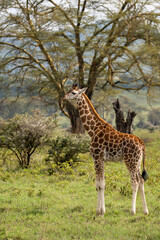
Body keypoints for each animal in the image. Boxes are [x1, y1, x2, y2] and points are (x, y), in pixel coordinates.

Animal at [63, 86, 149, 216]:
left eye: (73, 93)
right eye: (68, 91)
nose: (64, 98)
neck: (93, 129)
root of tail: (142, 144)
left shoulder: (97, 157)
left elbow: (99, 184)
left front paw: (100, 211)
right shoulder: (102, 159)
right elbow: (101, 184)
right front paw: (100, 210)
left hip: (130, 161)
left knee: (135, 182)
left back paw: (132, 211)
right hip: (138, 162)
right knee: (142, 181)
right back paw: (145, 211)